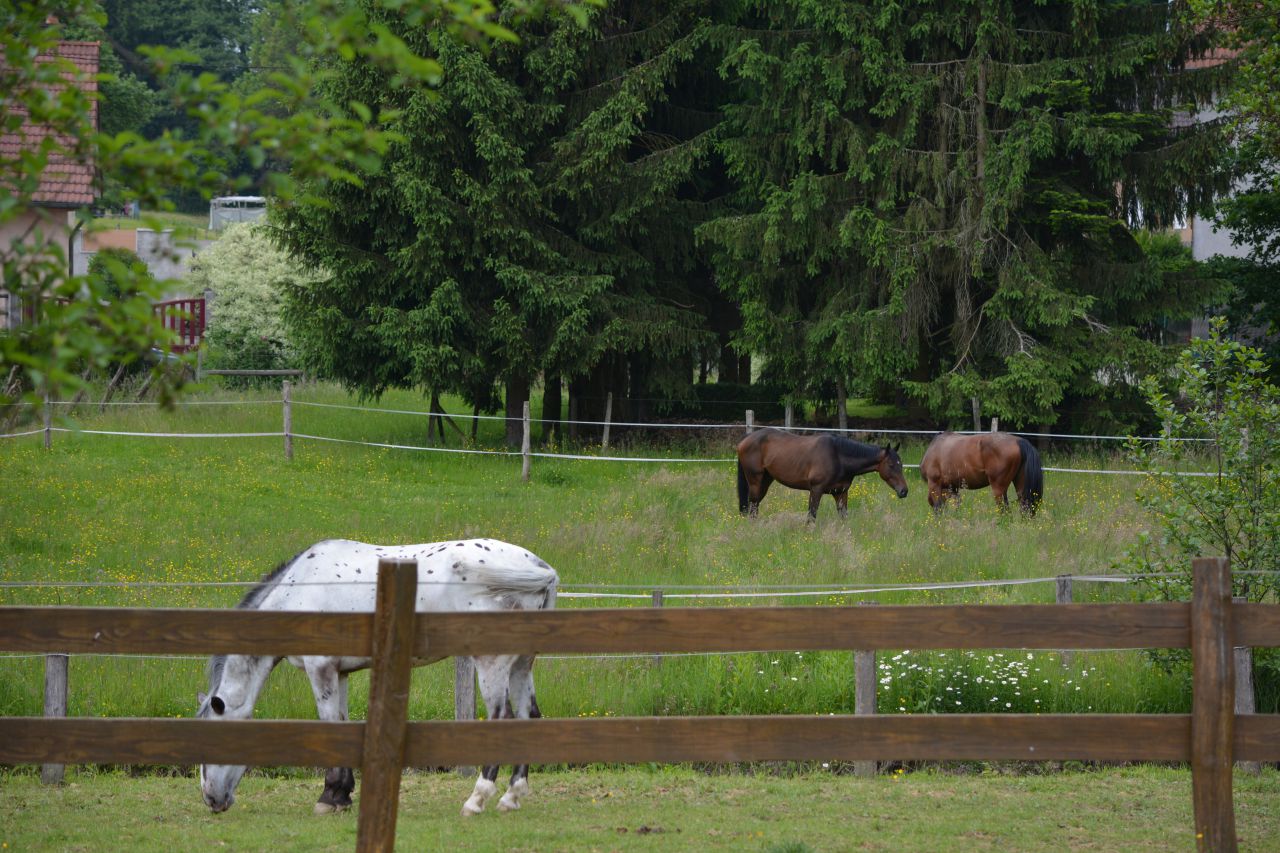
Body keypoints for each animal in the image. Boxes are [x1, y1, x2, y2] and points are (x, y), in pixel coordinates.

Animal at [196, 538, 559, 818]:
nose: (213, 801)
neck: (300, 589)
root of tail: (538, 566)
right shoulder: (339, 673)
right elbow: (342, 725)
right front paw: (341, 796)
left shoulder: (320, 670)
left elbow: (330, 725)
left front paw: (328, 797)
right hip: (521, 665)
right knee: (528, 717)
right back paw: (511, 797)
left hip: (492, 664)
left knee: (502, 718)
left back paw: (476, 800)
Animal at [736, 427, 909, 521]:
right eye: (891, 465)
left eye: (901, 465)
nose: (904, 491)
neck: (838, 455)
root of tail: (746, 438)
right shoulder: (816, 490)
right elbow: (811, 516)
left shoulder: (841, 493)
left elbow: (844, 517)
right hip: (755, 481)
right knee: (752, 507)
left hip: (765, 481)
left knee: (755, 506)